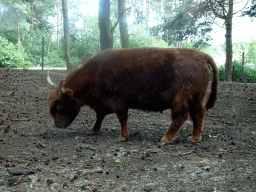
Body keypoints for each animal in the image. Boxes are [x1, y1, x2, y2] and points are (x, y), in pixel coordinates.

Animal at [47, 47, 218, 145]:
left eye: (60, 105)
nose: (57, 124)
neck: (96, 71)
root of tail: (203, 56)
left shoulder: (118, 102)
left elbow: (122, 118)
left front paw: (122, 137)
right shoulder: (104, 104)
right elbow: (100, 116)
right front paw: (94, 130)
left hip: (181, 99)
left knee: (181, 116)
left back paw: (166, 139)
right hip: (195, 99)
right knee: (198, 114)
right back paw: (194, 138)